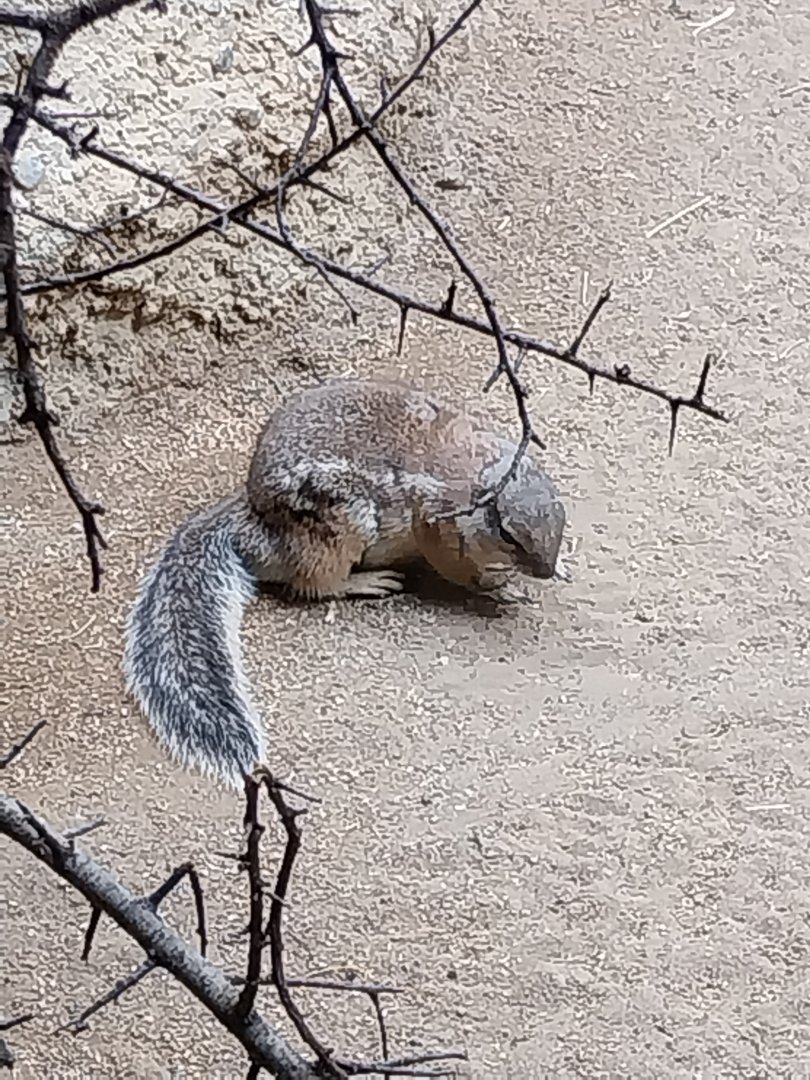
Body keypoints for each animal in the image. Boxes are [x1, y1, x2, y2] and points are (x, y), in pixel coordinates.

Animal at [123, 376, 568, 789]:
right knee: (313, 584)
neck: (475, 472)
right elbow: (461, 572)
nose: (545, 571)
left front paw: (559, 567)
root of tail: (252, 523)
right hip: (340, 531)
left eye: (561, 514)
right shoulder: (438, 530)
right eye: (508, 533)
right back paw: (368, 581)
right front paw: (500, 588)